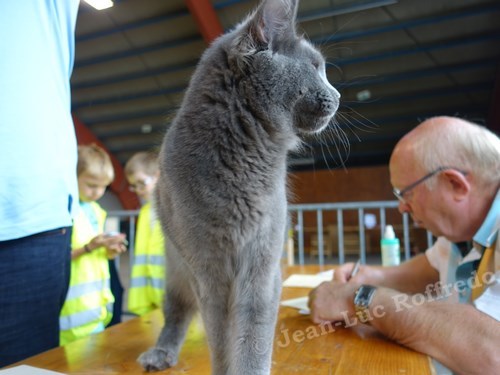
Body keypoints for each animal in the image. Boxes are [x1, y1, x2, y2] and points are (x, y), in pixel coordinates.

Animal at [137, 0, 340, 374]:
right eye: (315, 67)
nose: (338, 94)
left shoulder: (261, 264)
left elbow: (252, 335)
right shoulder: (208, 270)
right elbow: (221, 337)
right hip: (177, 266)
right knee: (176, 310)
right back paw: (161, 353)